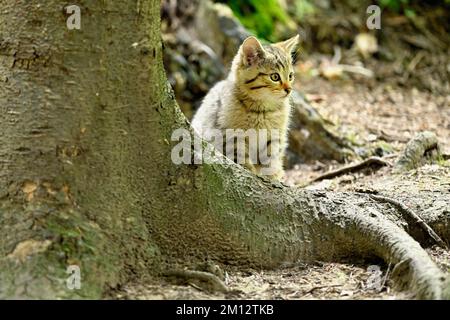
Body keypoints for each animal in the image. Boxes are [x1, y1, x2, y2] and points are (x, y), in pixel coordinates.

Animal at [191, 35, 298, 180]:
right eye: (275, 77)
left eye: (290, 76)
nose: (289, 90)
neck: (262, 110)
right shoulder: (233, 134)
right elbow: (240, 154)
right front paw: (248, 171)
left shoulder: (275, 135)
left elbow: (272, 156)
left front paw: (272, 176)